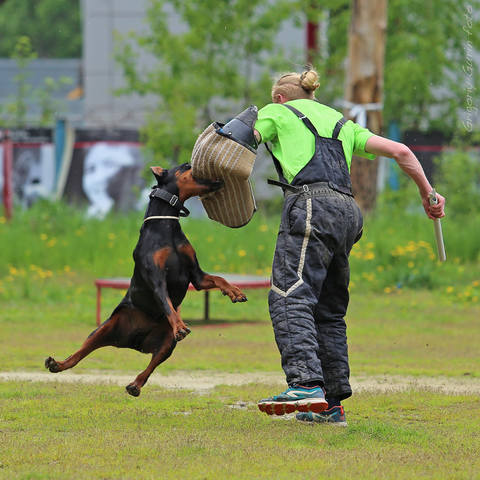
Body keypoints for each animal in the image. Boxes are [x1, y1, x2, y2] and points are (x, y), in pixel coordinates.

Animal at [45, 163, 248, 396]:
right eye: (187, 166)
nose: (216, 175)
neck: (166, 227)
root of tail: (135, 341)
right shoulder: (156, 278)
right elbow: (167, 303)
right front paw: (179, 325)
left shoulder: (196, 275)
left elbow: (218, 278)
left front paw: (235, 292)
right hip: (105, 328)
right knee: (79, 354)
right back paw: (57, 364)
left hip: (167, 343)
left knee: (151, 364)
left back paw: (135, 384)